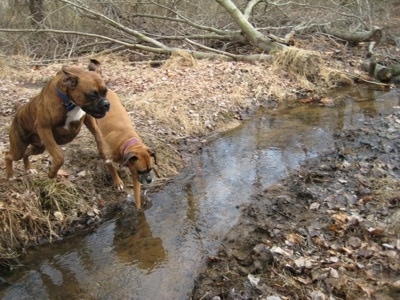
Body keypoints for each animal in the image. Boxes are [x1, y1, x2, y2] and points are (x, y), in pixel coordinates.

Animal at [88, 58, 156, 209]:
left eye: (151, 168)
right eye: (142, 171)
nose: (149, 179)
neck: (126, 142)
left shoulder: (135, 175)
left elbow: (137, 195)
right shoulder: (109, 158)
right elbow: (111, 169)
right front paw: (118, 181)